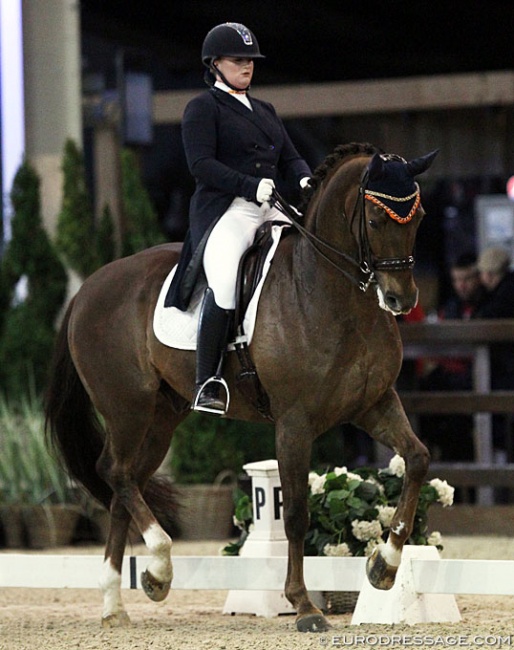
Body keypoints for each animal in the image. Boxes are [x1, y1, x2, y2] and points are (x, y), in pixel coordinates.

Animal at [45, 140, 436, 628]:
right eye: (376, 219)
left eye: (418, 218)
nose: (401, 299)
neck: (328, 291)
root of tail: (87, 289)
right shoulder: (294, 423)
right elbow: (297, 514)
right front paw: (303, 605)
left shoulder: (374, 403)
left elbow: (417, 459)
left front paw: (383, 566)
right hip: (125, 408)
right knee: (113, 472)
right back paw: (159, 563)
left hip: (160, 418)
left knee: (124, 484)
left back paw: (121, 601)